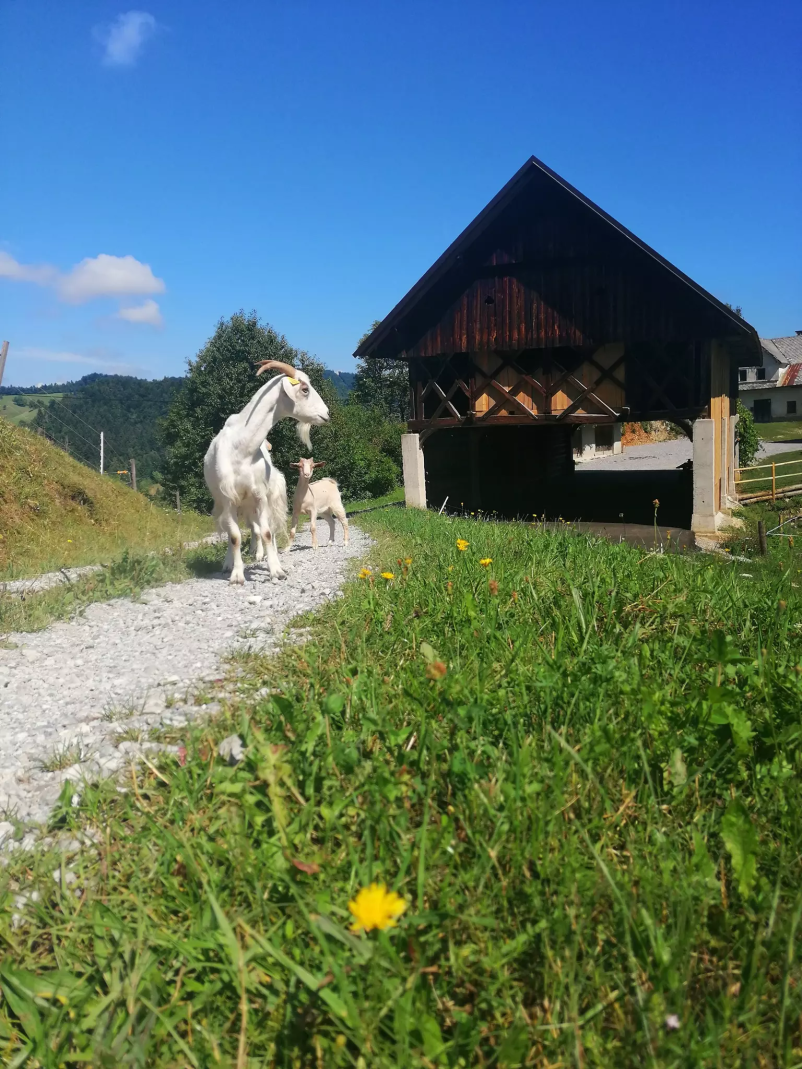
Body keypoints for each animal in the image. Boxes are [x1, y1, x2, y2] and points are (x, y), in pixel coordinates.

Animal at [208, 365, 333, 585]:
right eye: (305, 389)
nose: (327, 413)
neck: (241, 448)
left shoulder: (260, 496)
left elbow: (266, 533)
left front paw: (276, 570)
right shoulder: (228, 498)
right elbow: (235, 537)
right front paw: (237, 575)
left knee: (268, 530)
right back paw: (231, 562)